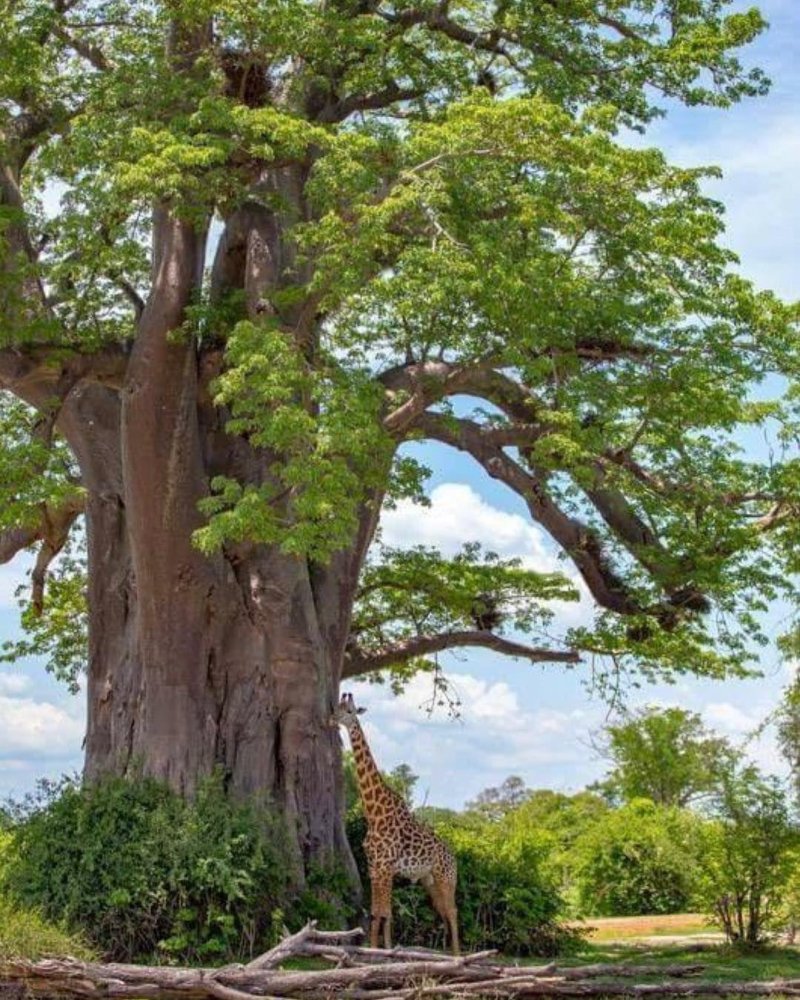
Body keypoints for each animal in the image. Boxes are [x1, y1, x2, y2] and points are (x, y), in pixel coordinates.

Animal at [332, 692, 460, 948]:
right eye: (338, 707)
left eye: (350, 711)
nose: (331, 718)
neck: (374, 813)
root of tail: (454, 859)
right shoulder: (374, 866)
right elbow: (376, 912)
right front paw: (376, 949)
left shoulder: (386, 866)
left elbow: (385, 912)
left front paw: (386, 949)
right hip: (430, 881)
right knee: (443, 912)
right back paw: (450, 953)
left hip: (446, 879)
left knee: (453, 912)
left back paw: (461, 955)